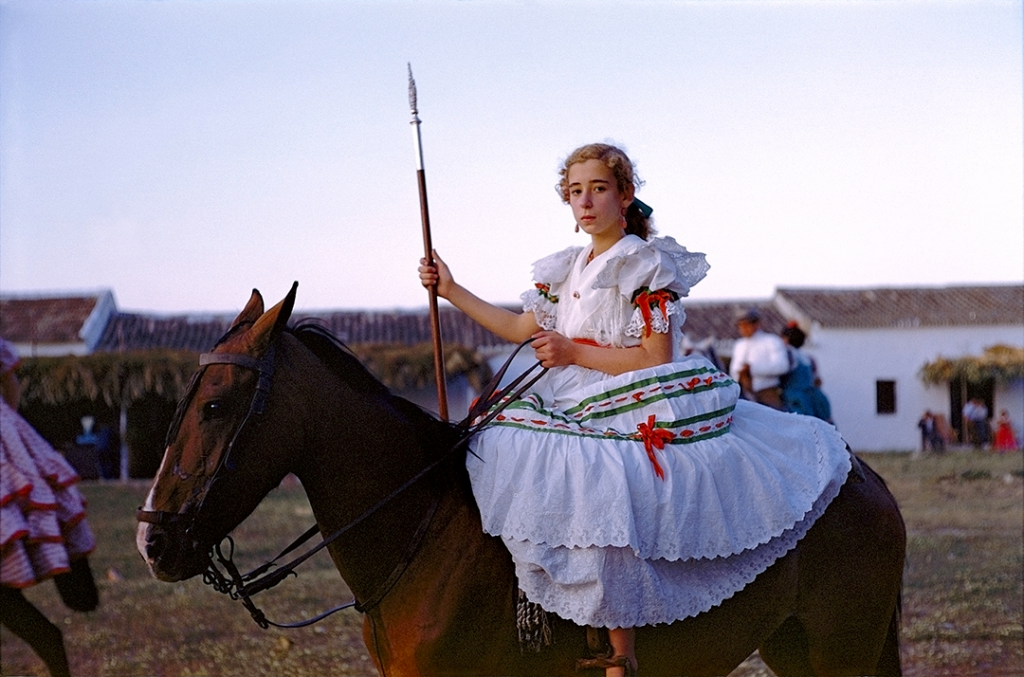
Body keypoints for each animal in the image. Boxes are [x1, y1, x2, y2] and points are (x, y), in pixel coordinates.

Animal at [134, 286, 905, 675]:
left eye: (214, 406)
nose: (151, 541)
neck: (419, 528)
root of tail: (864, 475)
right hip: (794, 645)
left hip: (841, 649)